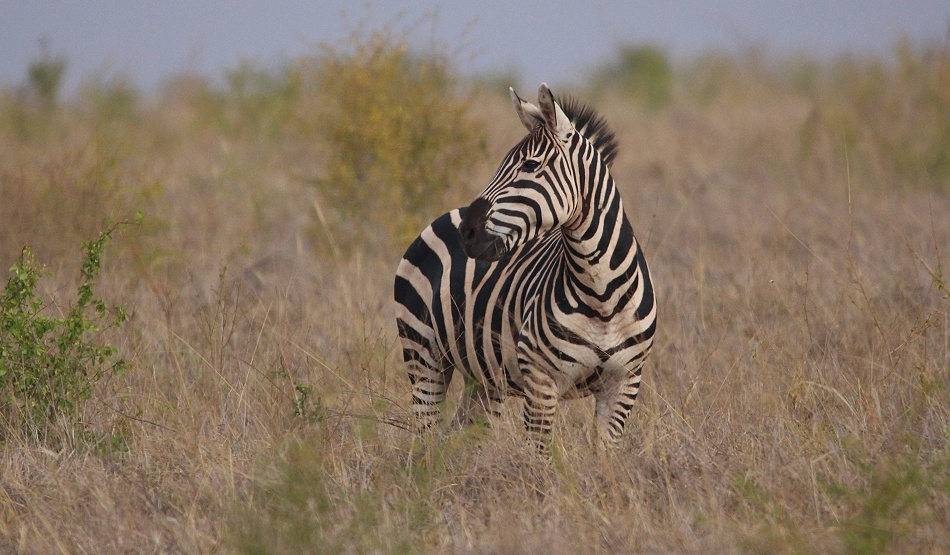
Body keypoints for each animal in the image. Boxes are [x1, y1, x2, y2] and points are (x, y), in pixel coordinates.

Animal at [394, 83, 656, 449]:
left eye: (531, 165)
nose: (467, 233)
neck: (601, 293)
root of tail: (448, 214)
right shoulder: (540, 381)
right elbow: (541, 458)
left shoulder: (624, 384)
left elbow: (605, 457)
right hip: (423, 356)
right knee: (426, 439)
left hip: (483, 379)